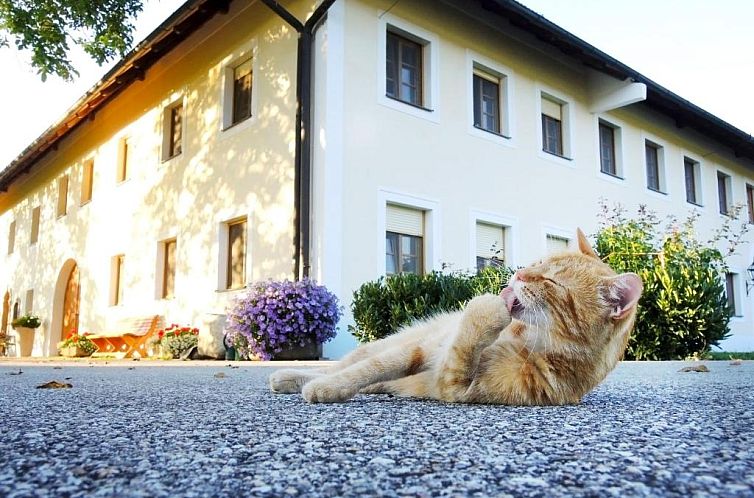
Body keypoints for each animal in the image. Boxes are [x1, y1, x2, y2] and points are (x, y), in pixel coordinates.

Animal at [270, 230, 640, 404]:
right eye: (538, 263)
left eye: (552, 282)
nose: (519, 274)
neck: (527, 340)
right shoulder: (420, 351)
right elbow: (364, 370)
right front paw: (328, 388)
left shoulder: (453, 385)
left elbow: (462, 350)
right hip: (392, 343)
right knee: (348, 363)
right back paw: (291, 377)